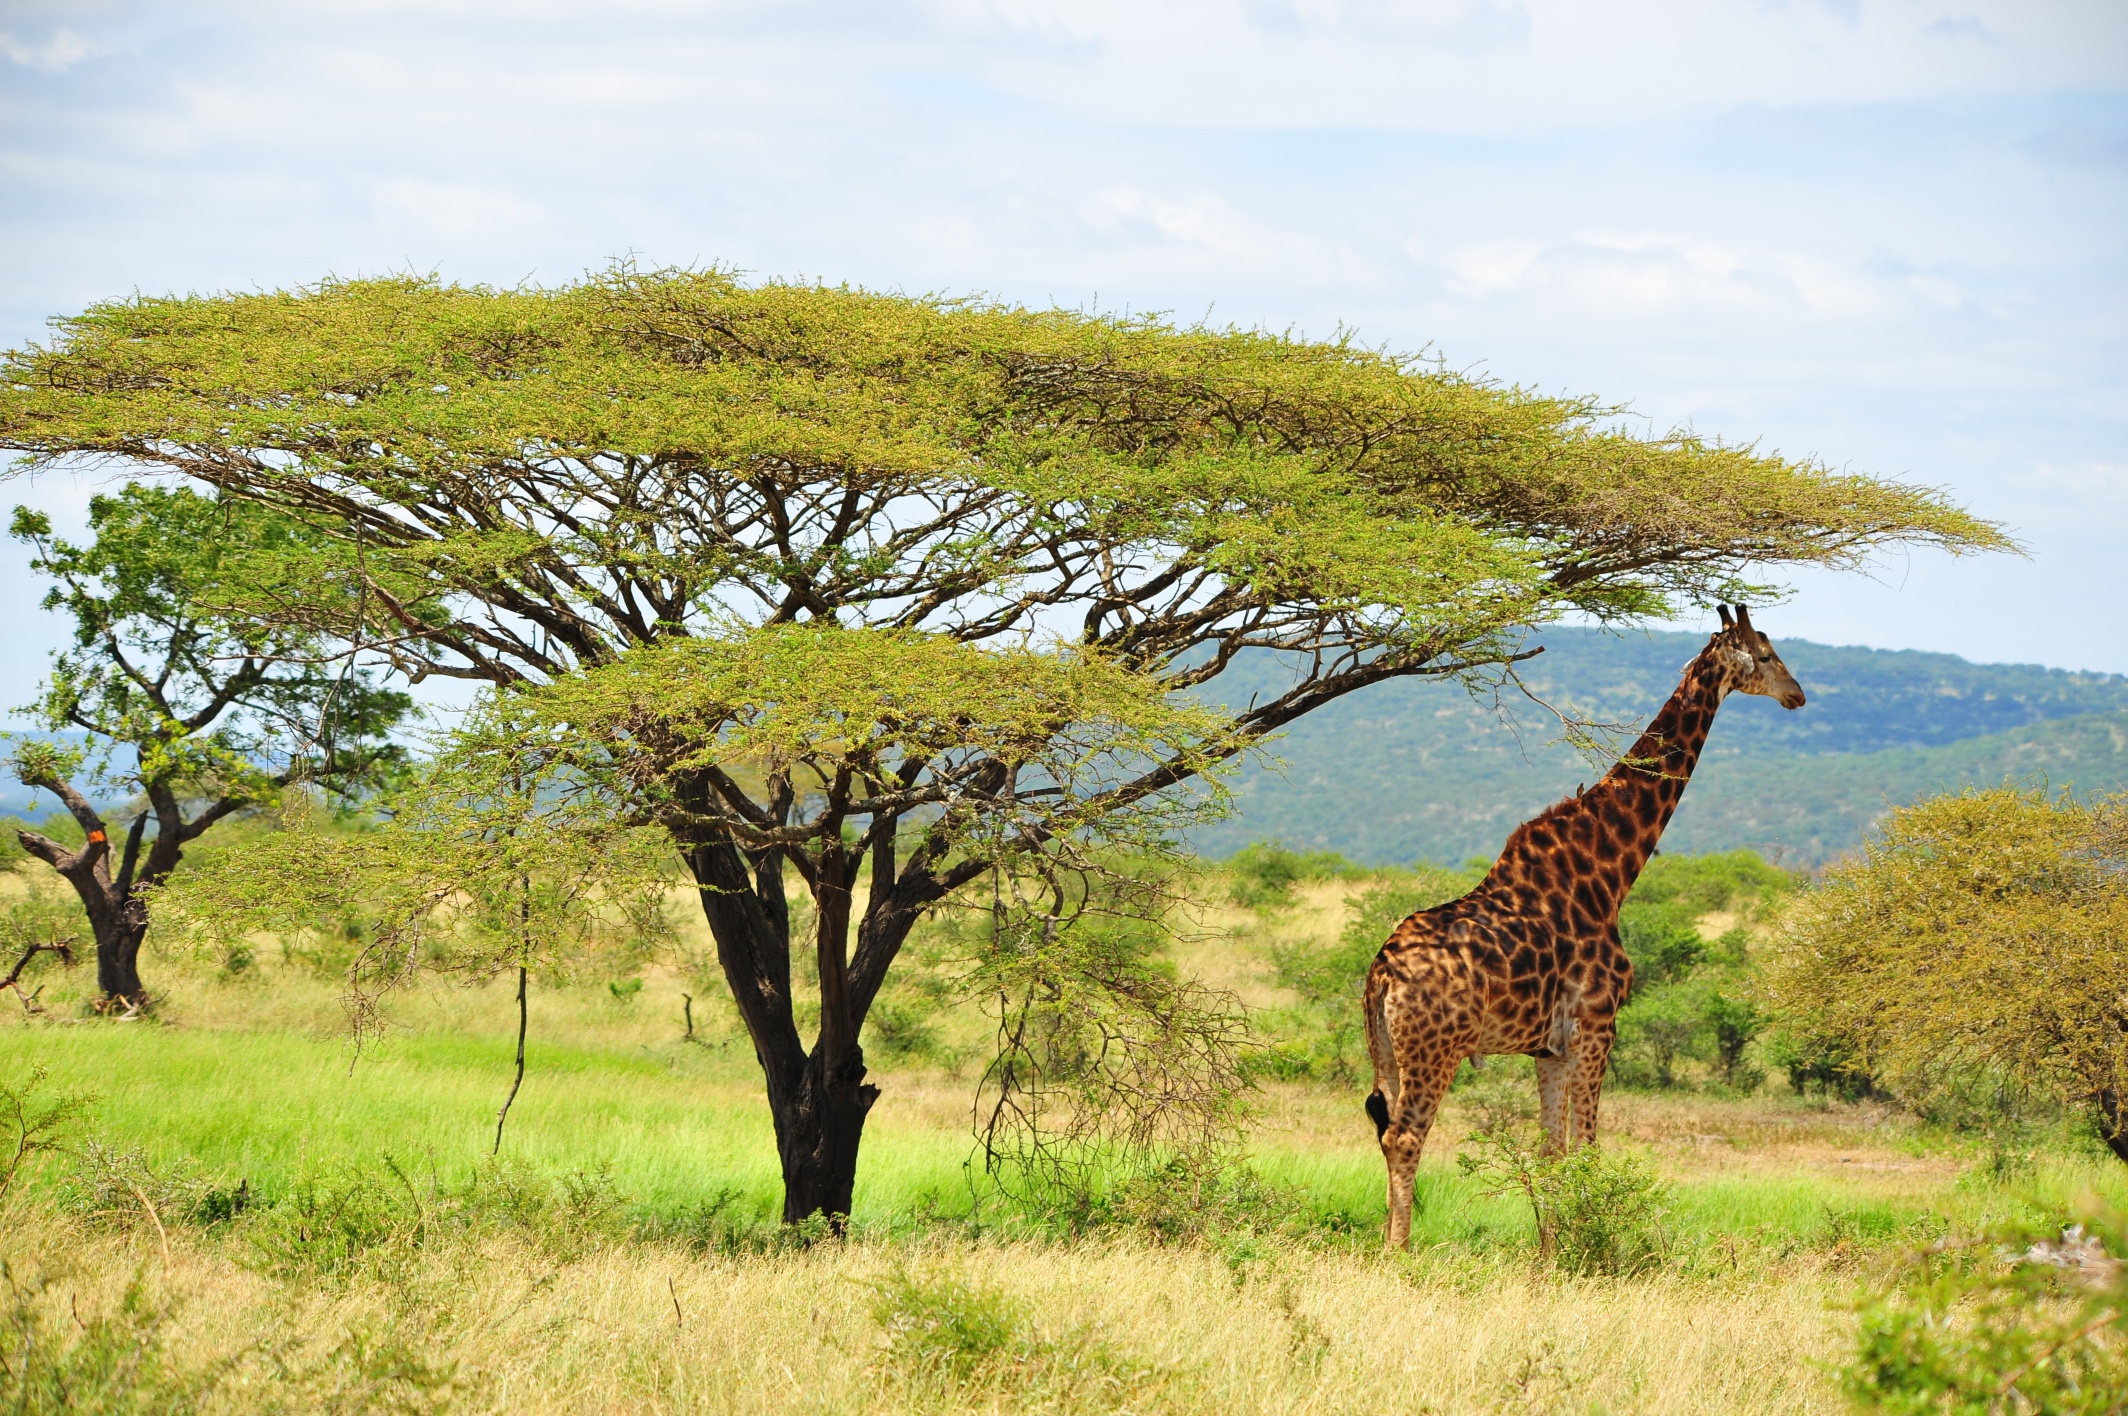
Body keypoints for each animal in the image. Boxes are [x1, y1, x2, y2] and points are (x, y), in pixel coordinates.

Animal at [1361, 600, 1813, 1243]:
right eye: (1769, 655)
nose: (1798, 695)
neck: (1609, 873)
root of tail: (1381, 972)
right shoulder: (1598, 1025)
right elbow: (1589, 1148)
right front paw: (1588, 1244)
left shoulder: (1548, 1048)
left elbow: (1552, 1152)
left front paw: (1551, 1251)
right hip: (1435, 1048)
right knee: (1405, 1135)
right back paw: (1399, 1252)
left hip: (1388, 1050)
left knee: (1384, 1128)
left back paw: (1385, 1239)